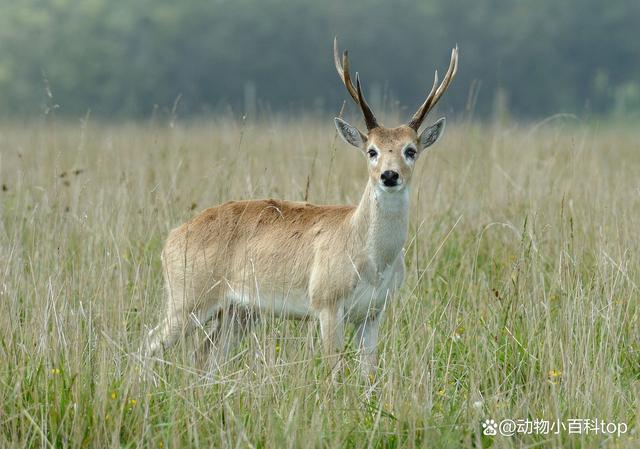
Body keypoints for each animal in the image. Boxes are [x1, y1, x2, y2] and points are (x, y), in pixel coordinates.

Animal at [144, 37, 456, 374]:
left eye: (411, 150)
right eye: (371, 150)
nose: (389, 175)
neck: (370, 255)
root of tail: (171, 238)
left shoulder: (373, 312)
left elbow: (368, 372)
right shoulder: (327, 305)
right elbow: (334, 370)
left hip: (239, 312)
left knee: (205, 354)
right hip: (186, 301)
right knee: (149, 344)